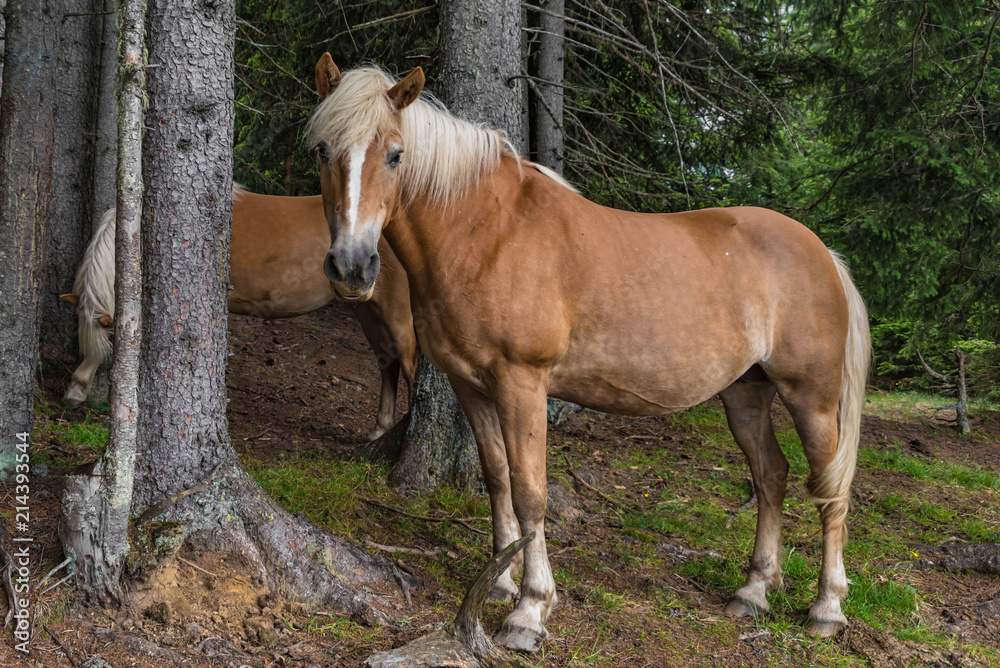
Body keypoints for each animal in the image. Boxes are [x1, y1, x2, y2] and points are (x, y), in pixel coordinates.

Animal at [61, 185, 418, 440]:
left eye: (107, 344)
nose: (73, 399)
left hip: (397, 314)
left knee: (410, 366)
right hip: (368, 311)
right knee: (387, 365)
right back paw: (379, 431)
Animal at [308, 57, 872, 652]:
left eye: (395, 153)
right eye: (322, 149)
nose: (352, 267)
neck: (485, 233)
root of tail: (823, 253)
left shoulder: (521, 383)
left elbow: (530, 492)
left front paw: (529, 611)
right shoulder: (470, 385)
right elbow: (497, 479)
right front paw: (500, 582)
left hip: (811, 399)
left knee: (832, 490)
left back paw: (827, 608)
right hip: (746, 394)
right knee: (771, 476)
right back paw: (754, 591)